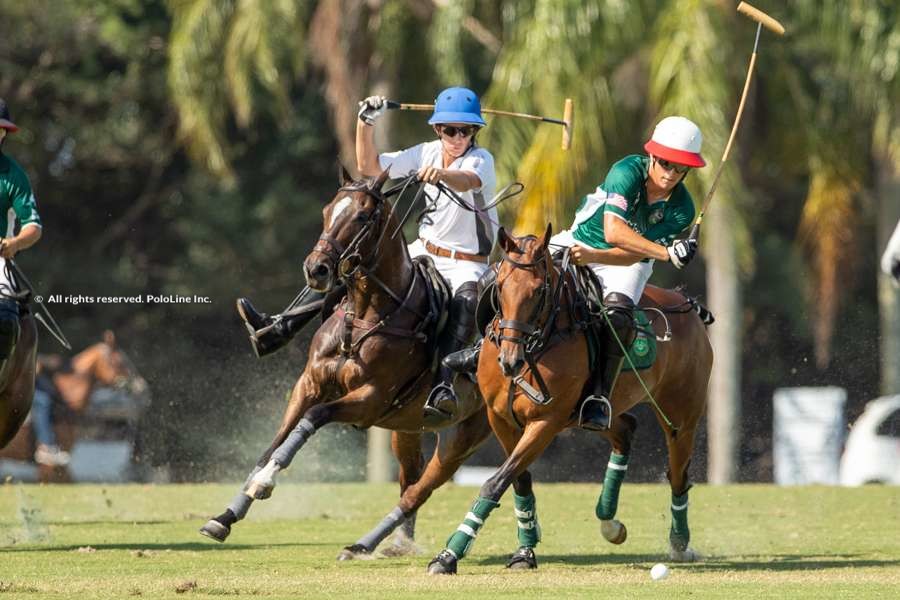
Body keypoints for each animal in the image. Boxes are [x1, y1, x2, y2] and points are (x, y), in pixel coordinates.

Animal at [201, 169, 496, 556]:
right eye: (327, 211)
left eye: (362, 216)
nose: (316, 269)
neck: (365, 315)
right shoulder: (308, 383)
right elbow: (273, 444)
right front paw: (227, 514)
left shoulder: (370, 400)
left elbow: (313, 418)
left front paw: (264, 484)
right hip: (407, 426)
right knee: (411, 476)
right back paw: (397, 544)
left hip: (465, 434)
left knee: (421, 490)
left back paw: (365, 545)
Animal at [426, 227, 712, 576]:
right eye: (500, 286)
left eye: (539, 291)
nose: (509, 362)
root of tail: (687, 304)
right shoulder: (501, 418)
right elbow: (518, 481)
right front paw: (524, 550)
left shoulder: (546, 421)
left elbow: (495, 482)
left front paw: (449, 554)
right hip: (588, 413)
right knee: (625, 428)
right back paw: (609, 521)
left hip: (681, 416)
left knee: (678, 475)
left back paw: (680, 543)